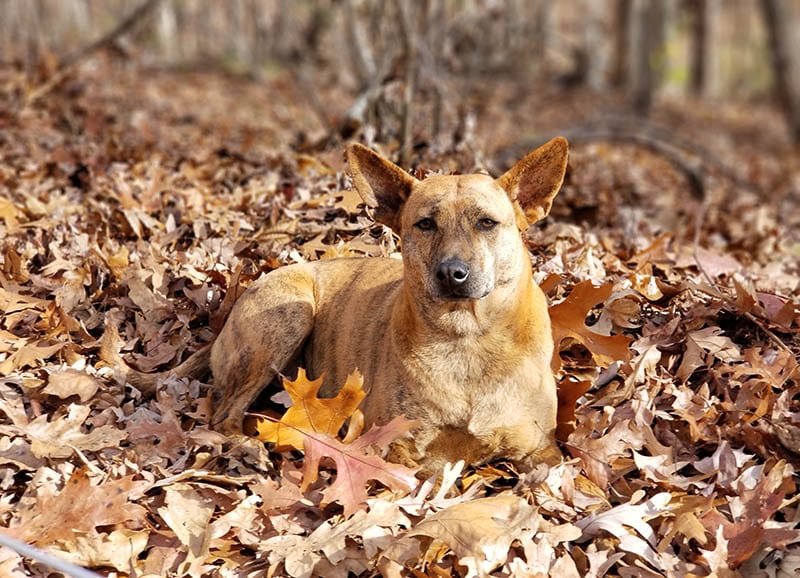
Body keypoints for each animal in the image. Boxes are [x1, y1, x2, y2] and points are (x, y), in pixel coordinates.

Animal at [122, 137, 564, 470]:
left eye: (487, 222)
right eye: (424, 224)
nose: (452, 273)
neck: (468, 339)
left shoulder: (543, 450)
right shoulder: (397, 448)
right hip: (288, 315)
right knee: (222, 413)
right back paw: (248, 447)